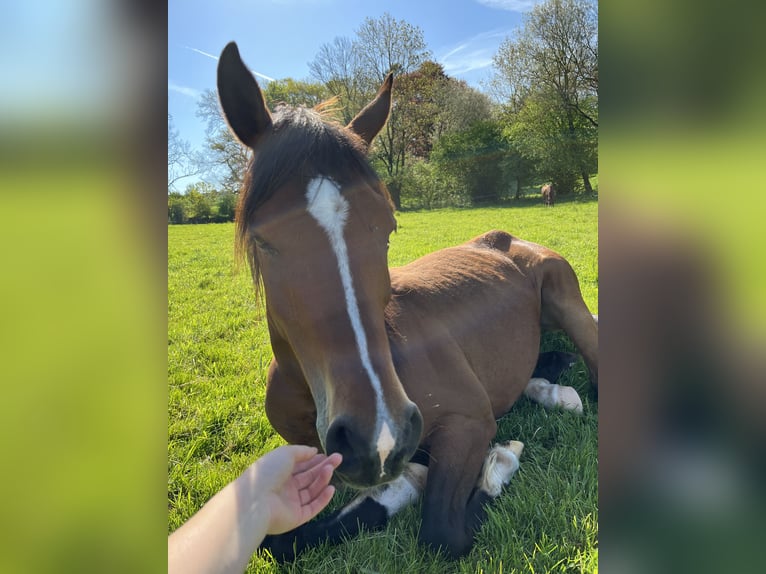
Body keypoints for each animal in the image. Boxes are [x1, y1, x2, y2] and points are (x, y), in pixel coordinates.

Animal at [217, 41, 598, 560]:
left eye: (388, 226)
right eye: (262, 240)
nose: (378, 436)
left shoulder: (468, 422)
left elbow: (441, 531)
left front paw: (497, 462)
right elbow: (281, 540)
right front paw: (404, 483)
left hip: (569, 303)